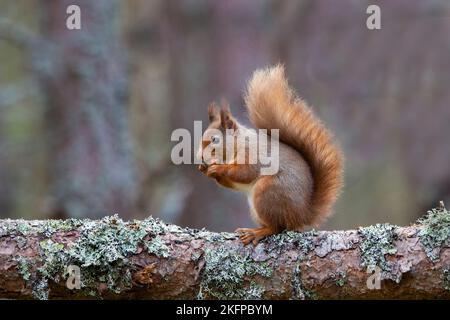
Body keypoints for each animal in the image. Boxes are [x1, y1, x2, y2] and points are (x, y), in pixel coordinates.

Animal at [198, 65, 344, 245]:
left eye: (215, 140)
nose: (200, 158)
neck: (238, 144)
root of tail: (302, 215)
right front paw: (205, 169)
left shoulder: (253, 154)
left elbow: (245, 173)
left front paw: (218, 168)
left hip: (267, 191)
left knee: (277, 228)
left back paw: (257, 233)